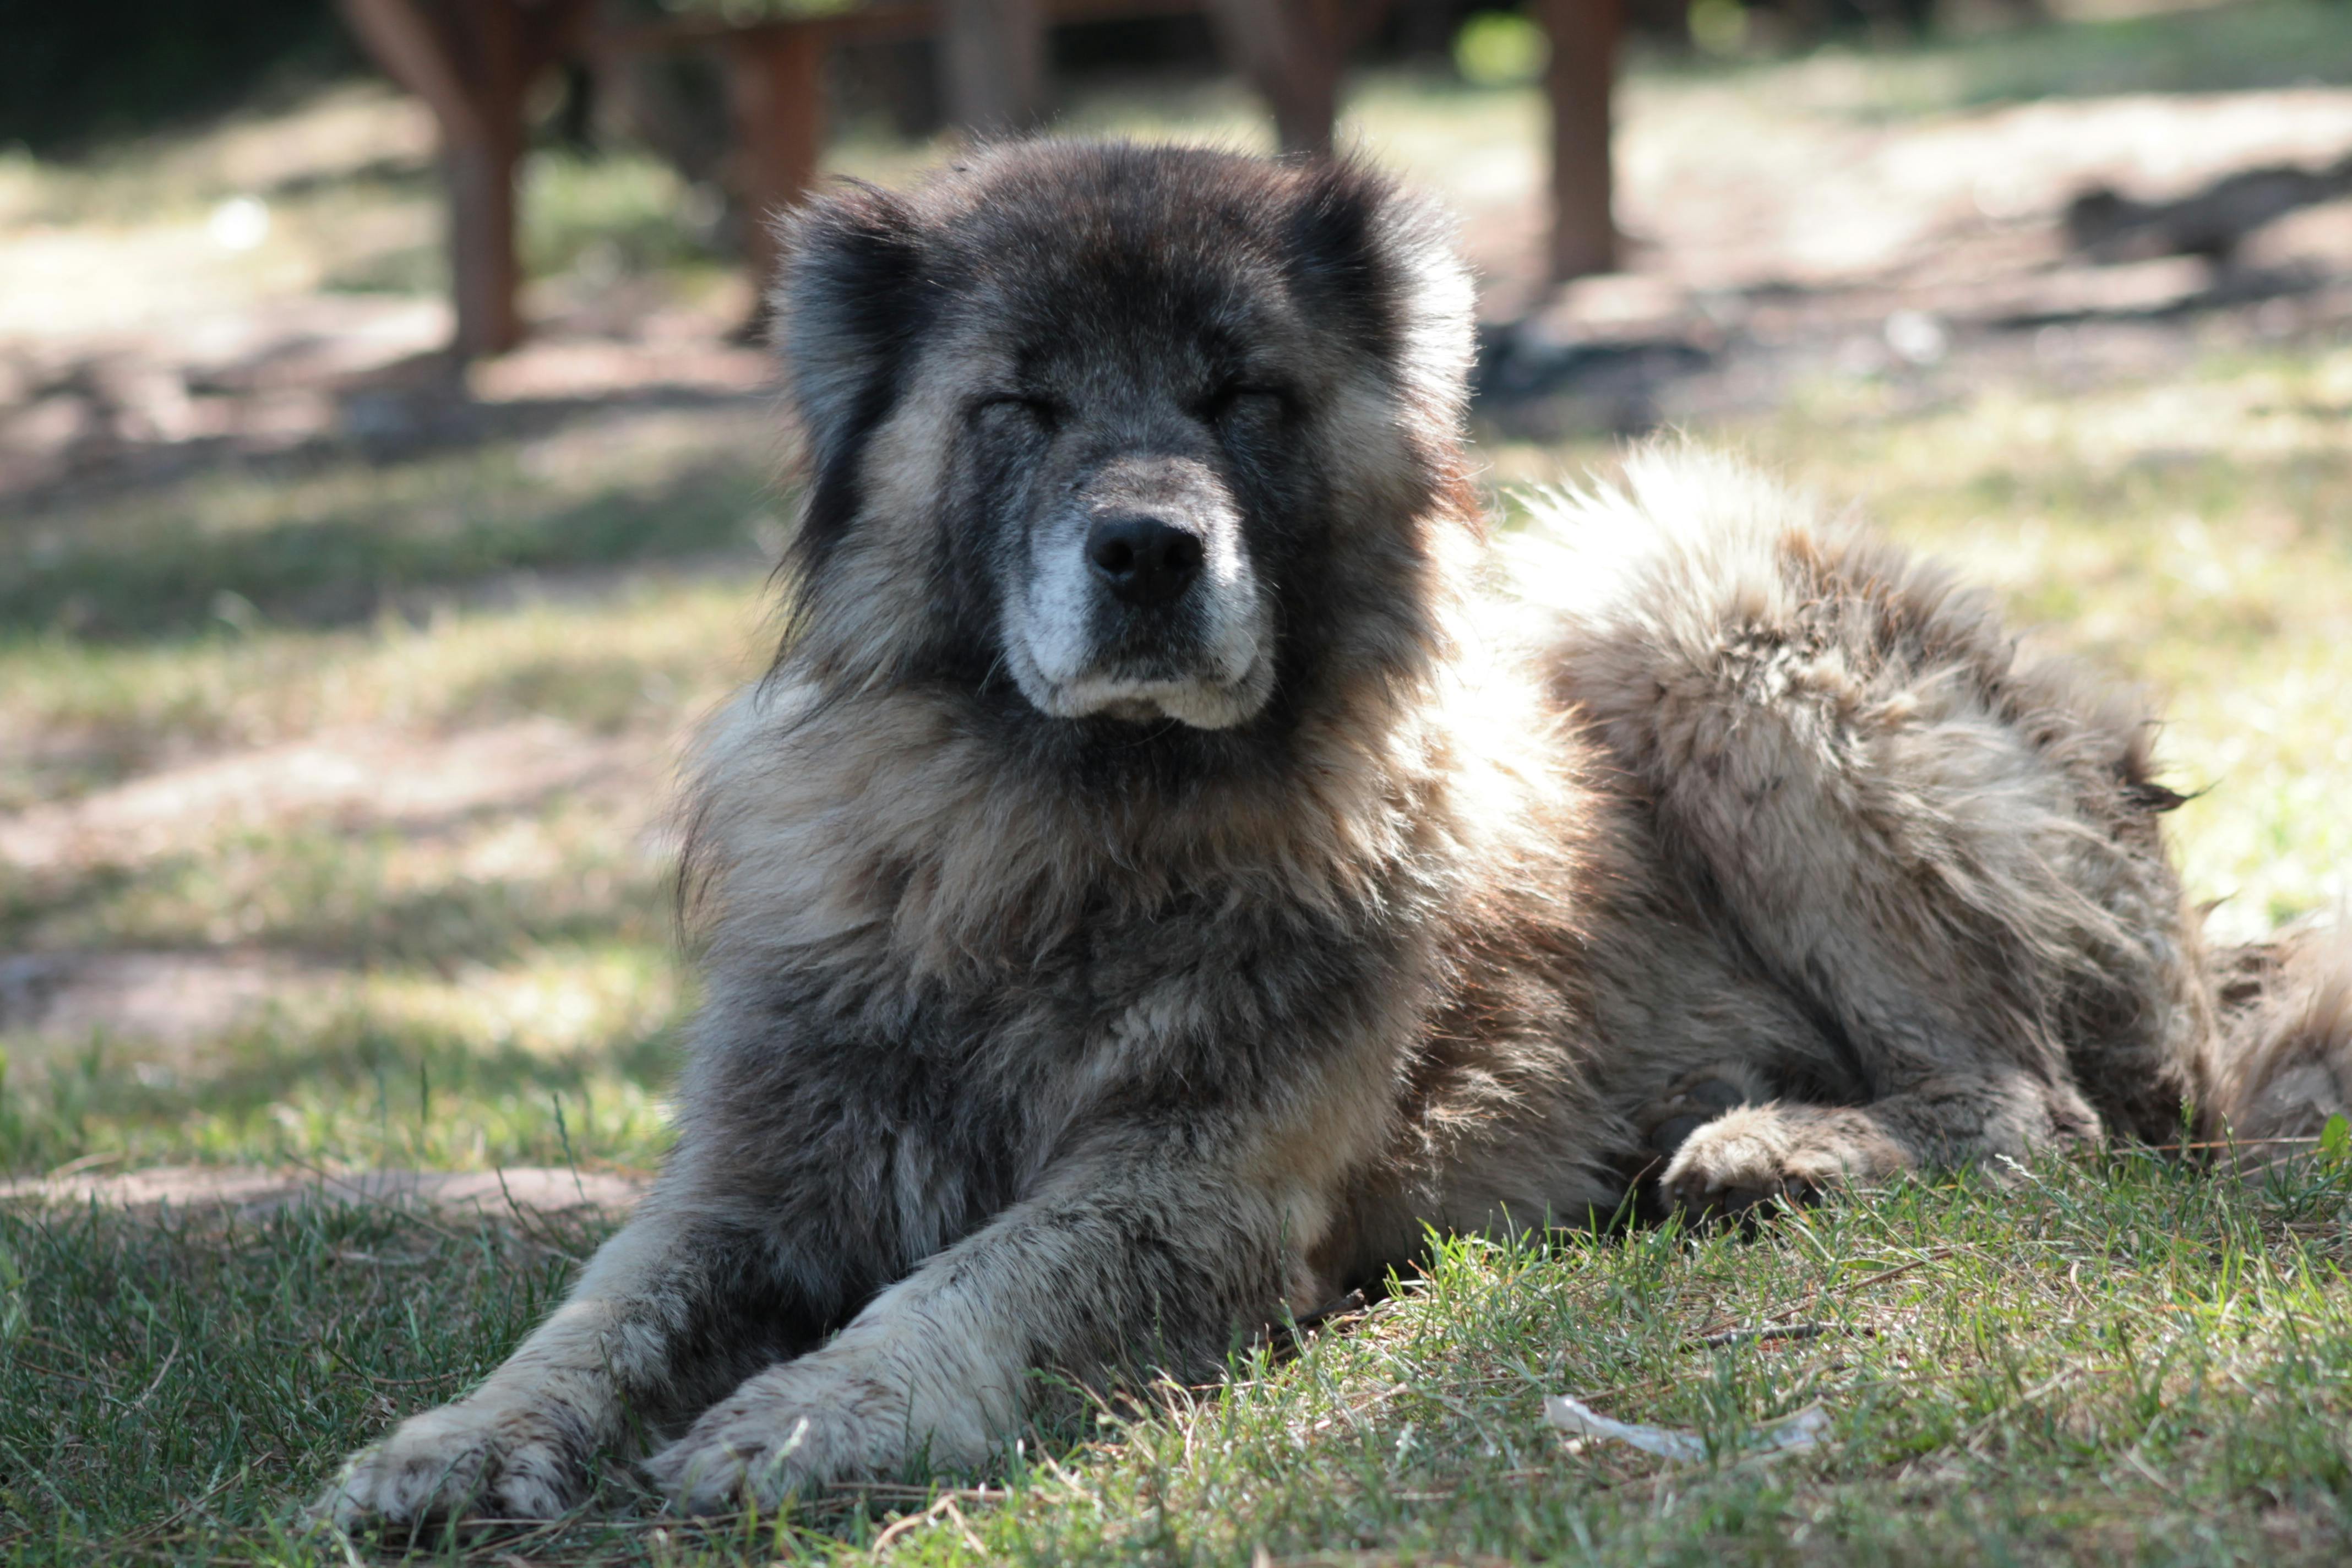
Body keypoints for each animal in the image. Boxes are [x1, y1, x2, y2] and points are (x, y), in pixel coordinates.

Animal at [317, 141, 2352, 1523]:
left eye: (1243, 397)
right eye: (1020, 404)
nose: (1149, 549)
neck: (1062, 831)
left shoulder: (1187, 1188)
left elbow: (969, 1272)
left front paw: (808, 1407)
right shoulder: (755, 1170)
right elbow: (603, 1304)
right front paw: (461, 1437)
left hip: (1673, 586)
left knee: (2038, 1112)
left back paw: (1778, 1144)